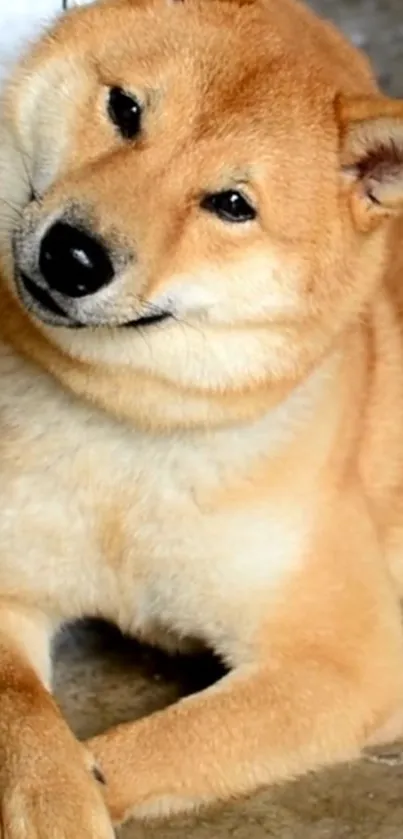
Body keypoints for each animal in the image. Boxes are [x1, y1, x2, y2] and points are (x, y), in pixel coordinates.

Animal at [0, 0, 403, 836]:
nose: (73, 257)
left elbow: (151, 746)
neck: (130, 427)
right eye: (125, 110)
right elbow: (22, 715)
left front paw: (84, 791)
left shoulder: (346, 659)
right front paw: (52, 794)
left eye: (231, 205)